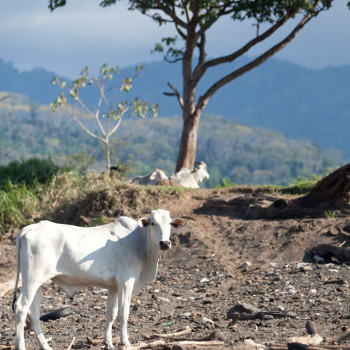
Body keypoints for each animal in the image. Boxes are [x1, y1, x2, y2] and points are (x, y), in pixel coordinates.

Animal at [12, 209, 185, 348]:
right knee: (21, 308)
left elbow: (111, 314)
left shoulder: (114, 287)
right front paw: (125, 341)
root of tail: (29, 228)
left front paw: (108, 342)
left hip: (37, 283)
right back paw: (21, 346)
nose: (165, 243)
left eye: (170, 223)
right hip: (32, 280)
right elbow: (124, 312)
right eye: (153, 223)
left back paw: (46, 346)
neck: (140, 242)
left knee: (33, 312)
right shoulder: (126, 282)